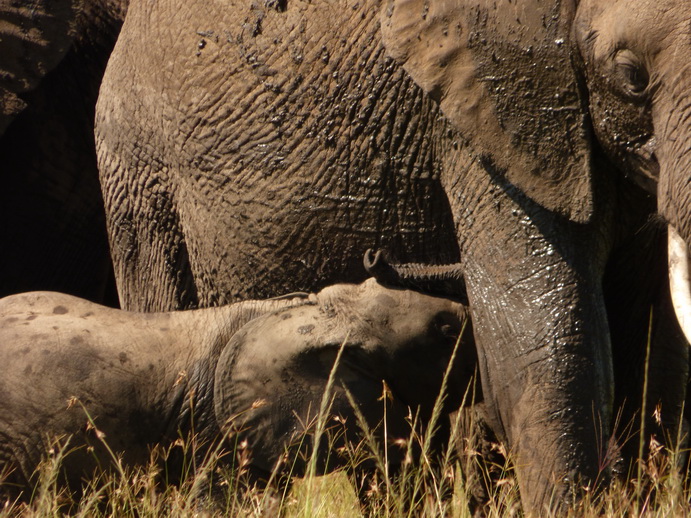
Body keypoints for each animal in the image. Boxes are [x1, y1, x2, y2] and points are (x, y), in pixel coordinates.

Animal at [94, 0, 691, 512]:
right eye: (631, 75)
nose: (374, 257)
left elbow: (654, 352)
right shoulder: (492, 111)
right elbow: (543, 351)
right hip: (141, 186)